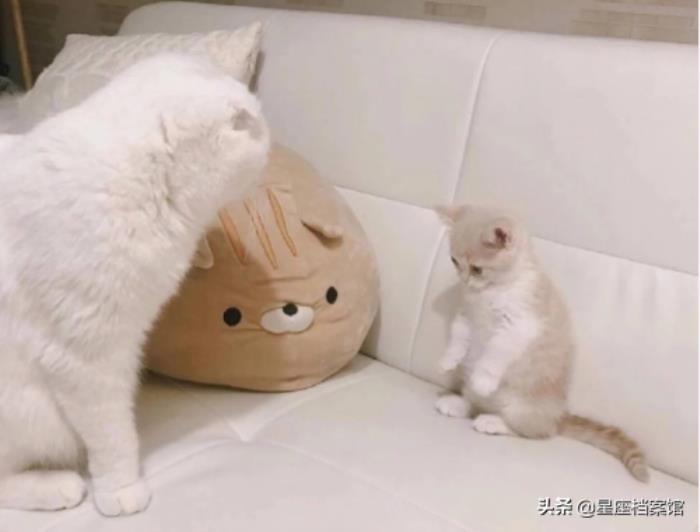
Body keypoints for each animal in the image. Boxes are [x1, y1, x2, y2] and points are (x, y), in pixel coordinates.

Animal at [434, 204, 649, 482]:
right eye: (454, 261)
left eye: (477, 269)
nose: (463, 280)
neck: (493, 291)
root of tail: (560, 417)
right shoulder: (467, 314)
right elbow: (459, 336)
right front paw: (448, 361)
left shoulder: (519, 325)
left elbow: (495, 353)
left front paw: (484, 378)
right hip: (473, 389)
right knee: (474, 403)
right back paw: (457, 403)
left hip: (522, 408)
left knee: (535, 431)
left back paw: (492, 422)